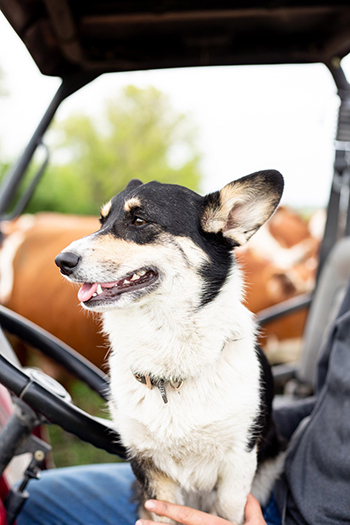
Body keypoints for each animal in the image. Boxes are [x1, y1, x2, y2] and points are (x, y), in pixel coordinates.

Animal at [54, 170, 284, 520]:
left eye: (138, 221)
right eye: (101, 221)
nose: (61, 261)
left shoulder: (238, 465)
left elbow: (228, 511)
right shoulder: (148, 466)